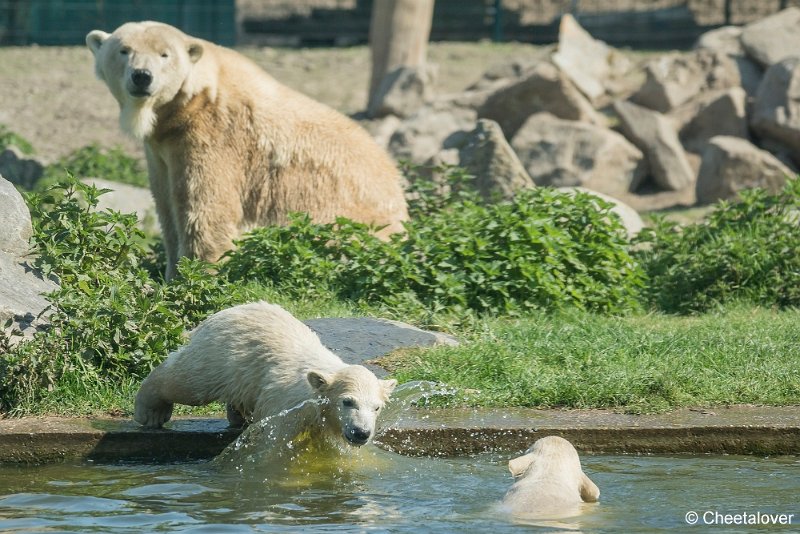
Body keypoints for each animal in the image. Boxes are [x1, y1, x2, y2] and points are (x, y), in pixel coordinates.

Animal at [87, 22, 410, 280]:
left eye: (164, 54)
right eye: (124, 50)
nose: (142, 76)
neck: (191, 101)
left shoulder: (215, 136)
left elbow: (205, 208)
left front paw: (192, 278)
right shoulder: (162, 147)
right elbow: (166, 205)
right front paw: (169, 273)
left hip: (349, 218)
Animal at [138, 302, 400, 448]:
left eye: (377, 407)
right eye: (347, 402)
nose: (361, 433)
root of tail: (223, 313)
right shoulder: (285, 404)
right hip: (221, 354)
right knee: (187, 381)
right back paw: (151, 412)